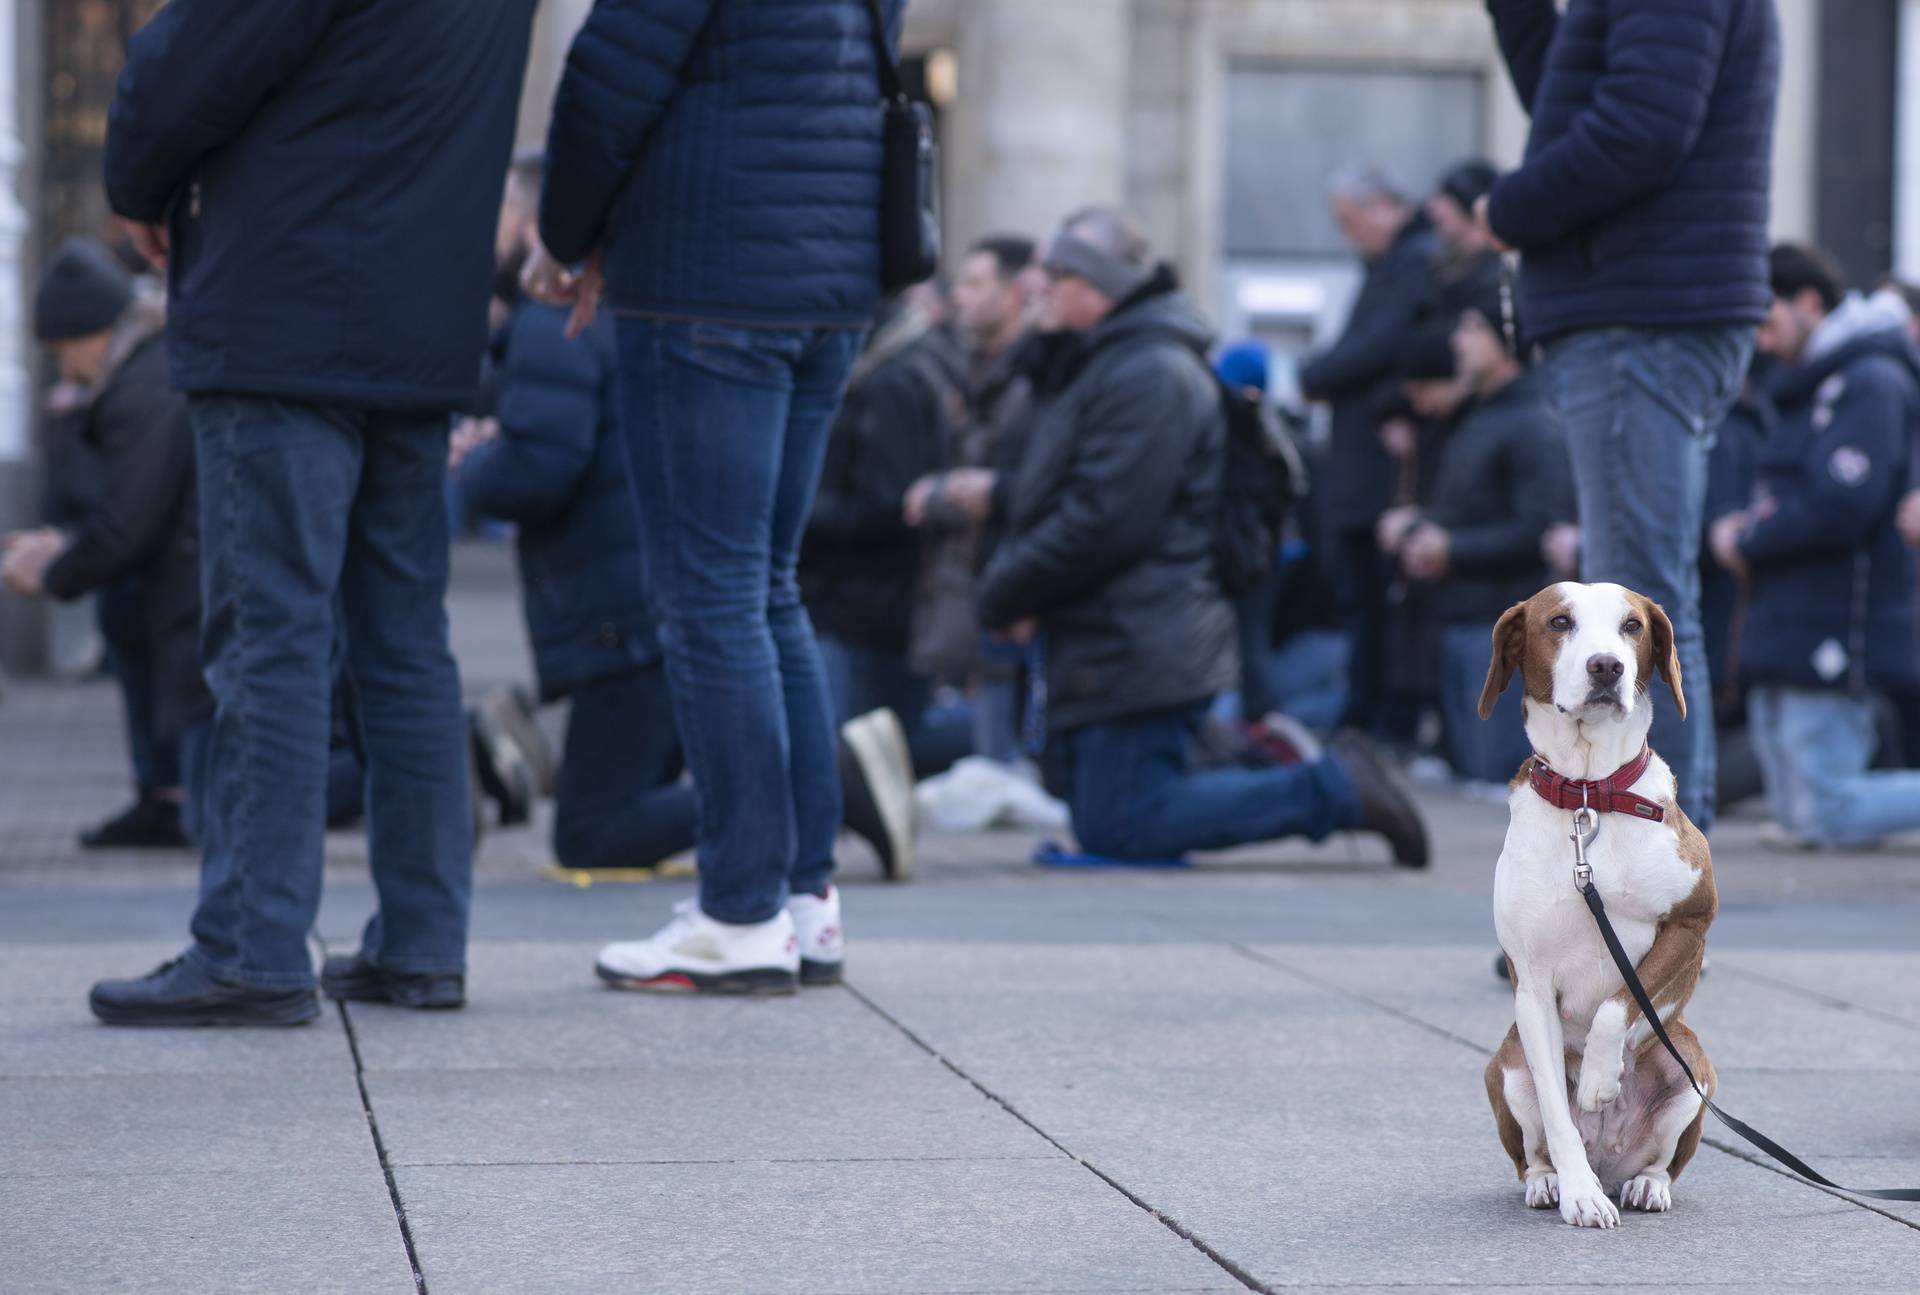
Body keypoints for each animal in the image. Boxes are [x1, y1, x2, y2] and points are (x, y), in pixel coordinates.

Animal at [1474, 580, 1720, 1221]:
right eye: (1559, 622)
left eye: (1632, 625)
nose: (1607, 665)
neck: (1590, 793)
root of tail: (1611, 1160)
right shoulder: (1532, 985)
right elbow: (1559, 1114)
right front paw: (1579, 1195)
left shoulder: (1690, 926)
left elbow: (1618, 1003)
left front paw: (1596, 1079)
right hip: (1505, 1065)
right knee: (1533, 1150)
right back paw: (1554, 1182)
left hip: (1693, 1066)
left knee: (1664, 1160)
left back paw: (1646, 1185)